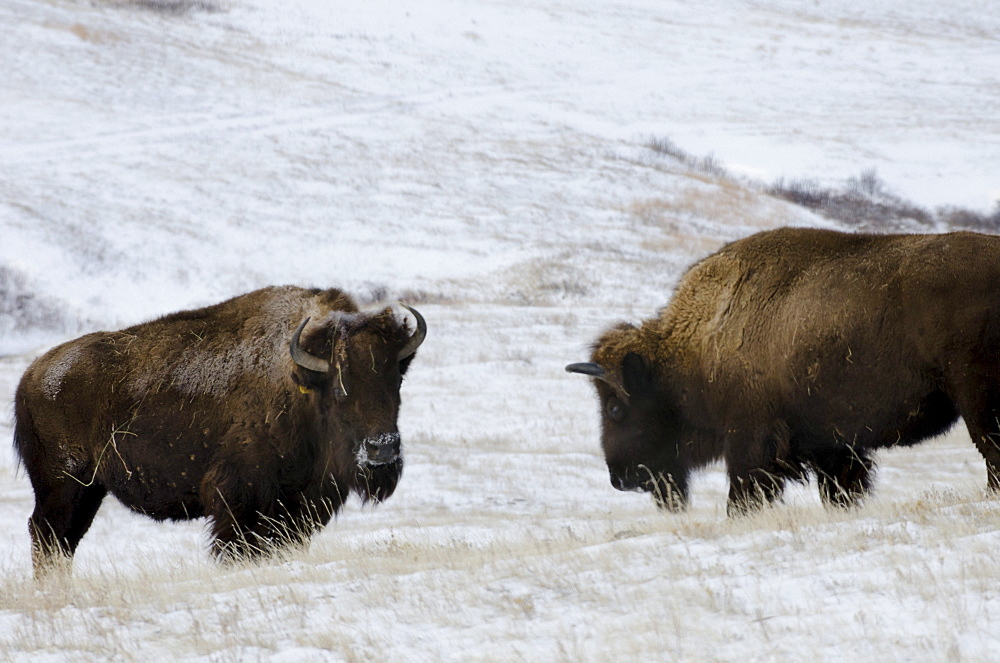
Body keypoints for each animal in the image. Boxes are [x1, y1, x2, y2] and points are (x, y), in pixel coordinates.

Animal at [13, 286, 426, 576]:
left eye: (396, 380)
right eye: (340, 388)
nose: (382, 449)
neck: (298, 383)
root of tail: (32, 376)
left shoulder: (300, 507)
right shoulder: (240, 502)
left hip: (89, 490)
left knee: (64, 541)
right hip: (62, 485)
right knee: (47, 535)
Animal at [568, 231, 1000, 516]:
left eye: (615, 407)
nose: (619, 477)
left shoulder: (750, 440)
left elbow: (743, 493)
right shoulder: (833, 446)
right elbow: (841, 488)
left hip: (977, 402)